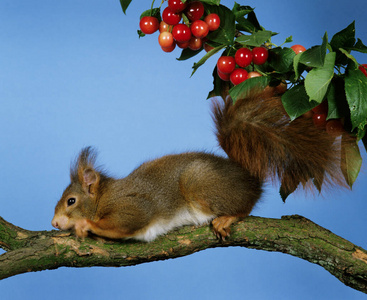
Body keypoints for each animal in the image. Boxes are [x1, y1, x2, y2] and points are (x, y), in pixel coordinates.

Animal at [50, 91, 350, 241]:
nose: (53, 223)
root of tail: (248, 177)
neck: (103, 197)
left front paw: (84, 225)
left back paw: (228, 217)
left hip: (198, 182)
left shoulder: (131, 205)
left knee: (245, 208)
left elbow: (123, 222)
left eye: (71, 201)